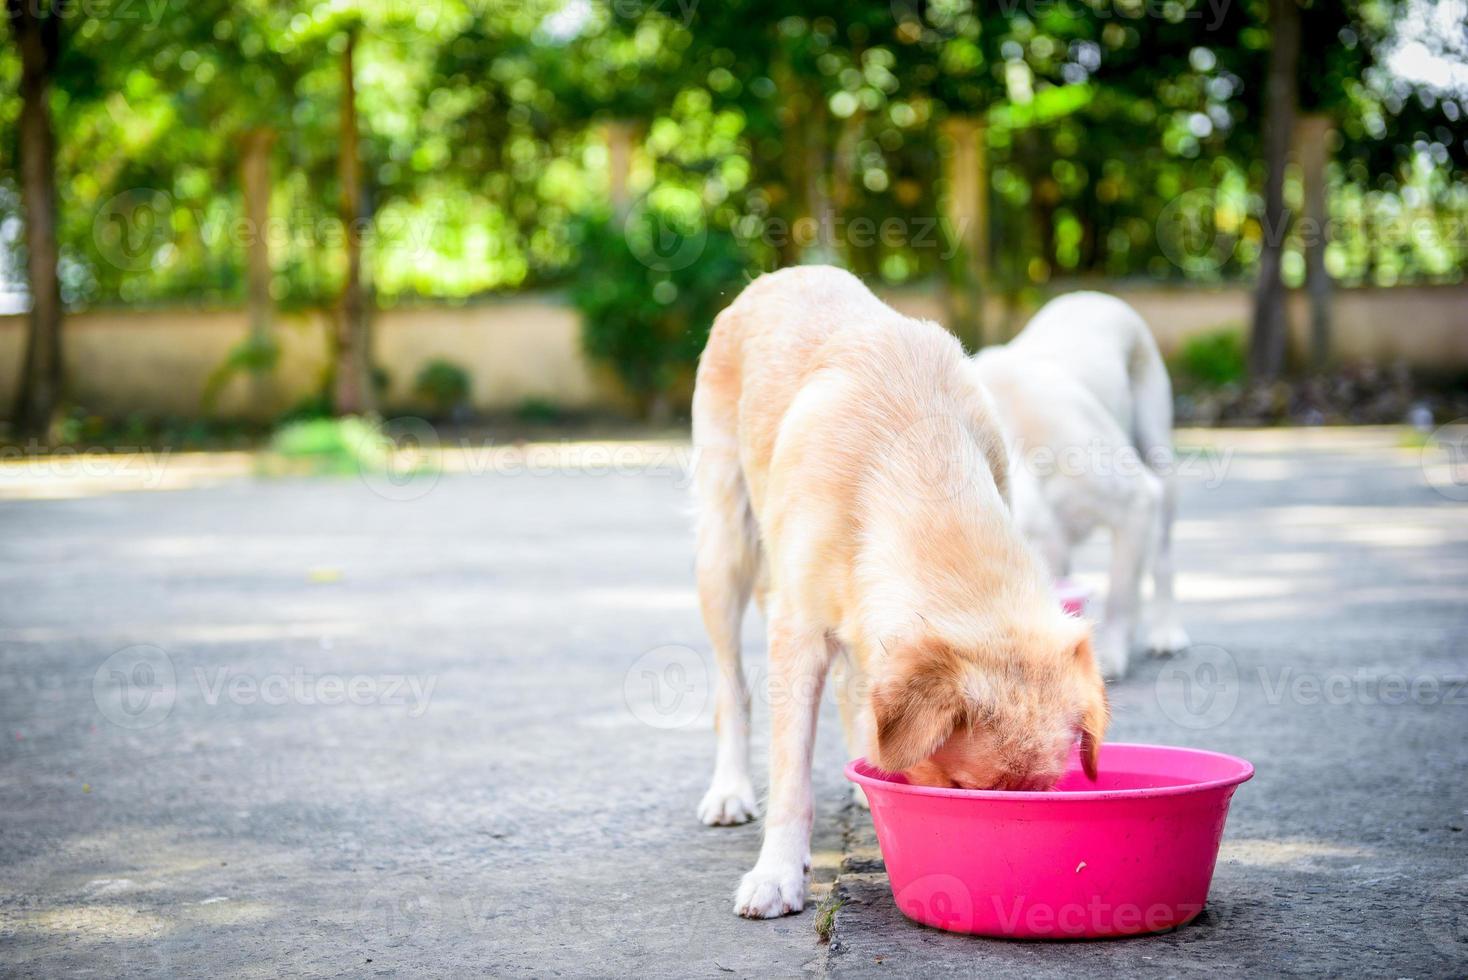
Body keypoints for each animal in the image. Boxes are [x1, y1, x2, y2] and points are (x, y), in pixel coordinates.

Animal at [974, 289, 1192, 674]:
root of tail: (1094, 295)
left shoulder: (1135, 502)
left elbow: (1120, 594)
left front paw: (1109, 655)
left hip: (1160, 460)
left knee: (1162, 561)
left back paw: (1166, 632)